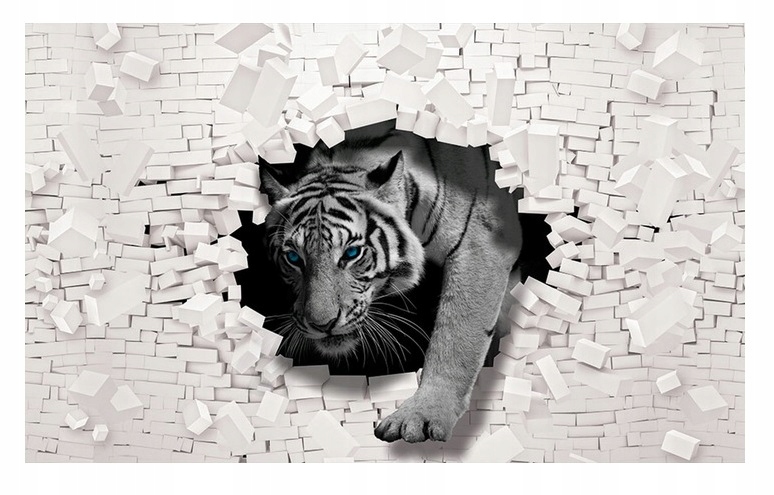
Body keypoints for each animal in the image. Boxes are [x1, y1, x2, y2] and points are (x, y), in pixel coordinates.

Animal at [259, 120, 522, 443]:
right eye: (294, 258)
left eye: (352, 253)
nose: (321, 325)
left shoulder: (481, 242)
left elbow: (456, 337)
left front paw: (423, 415)